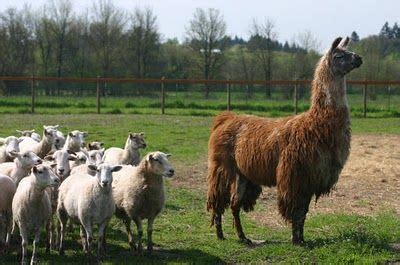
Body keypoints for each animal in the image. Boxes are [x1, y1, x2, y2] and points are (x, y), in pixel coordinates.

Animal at [206, 36, 362, 244]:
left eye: (349, 51)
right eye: (339, 55)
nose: (359, 58)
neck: (317, 125)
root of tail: (225, 118)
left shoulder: (310, 178)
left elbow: (304, 212)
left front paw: (301, 239)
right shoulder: (294, 174)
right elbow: (296, 211)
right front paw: (296, 240)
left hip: (243, 173)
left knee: (234, 204)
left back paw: (243, 237)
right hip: (222, 166)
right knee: (217, 199)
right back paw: (220, 234)